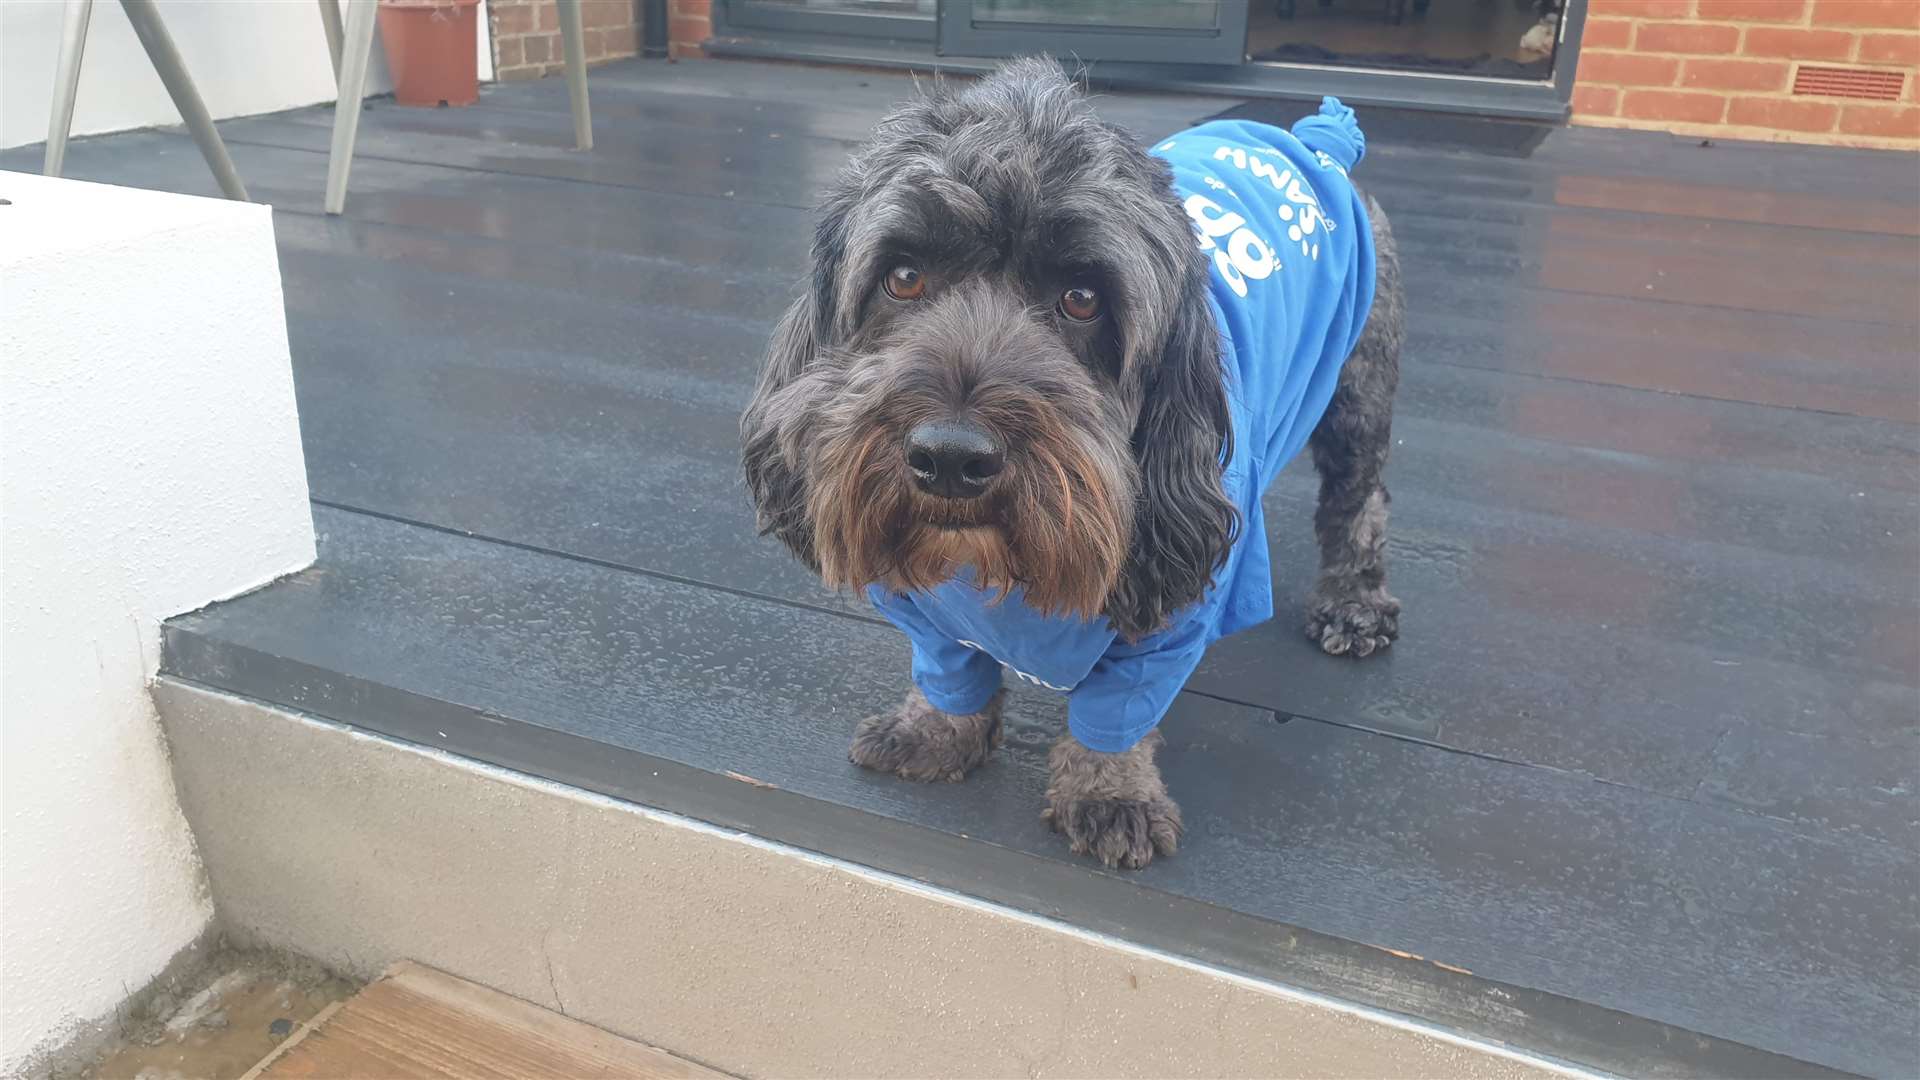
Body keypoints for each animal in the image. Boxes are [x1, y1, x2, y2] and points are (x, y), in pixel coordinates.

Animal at [741, 56, 1405, 864]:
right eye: (902, 277)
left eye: (1083, 299)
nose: (950, 458)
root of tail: (1315, 142)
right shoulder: (926, 610)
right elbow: (947, 667)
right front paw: (936, 731)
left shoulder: (1174, 613)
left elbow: (1117, 713)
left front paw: (1109, 794)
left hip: (1358, 385)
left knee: (1359, 496)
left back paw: (1354, 603)